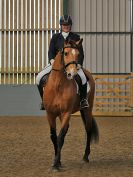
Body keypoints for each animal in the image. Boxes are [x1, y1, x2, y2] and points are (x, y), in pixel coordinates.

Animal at [43, 38, 98, 170]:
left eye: (78, 54)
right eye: (66, 53)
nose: (72, 73)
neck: (58, 85)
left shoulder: (66, 113)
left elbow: (60, 137)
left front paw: (56, 164)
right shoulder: (50, 114)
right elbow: (54, 137)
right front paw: (57, 161)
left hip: (87, 109)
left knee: (88, 129)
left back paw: (85, 157)